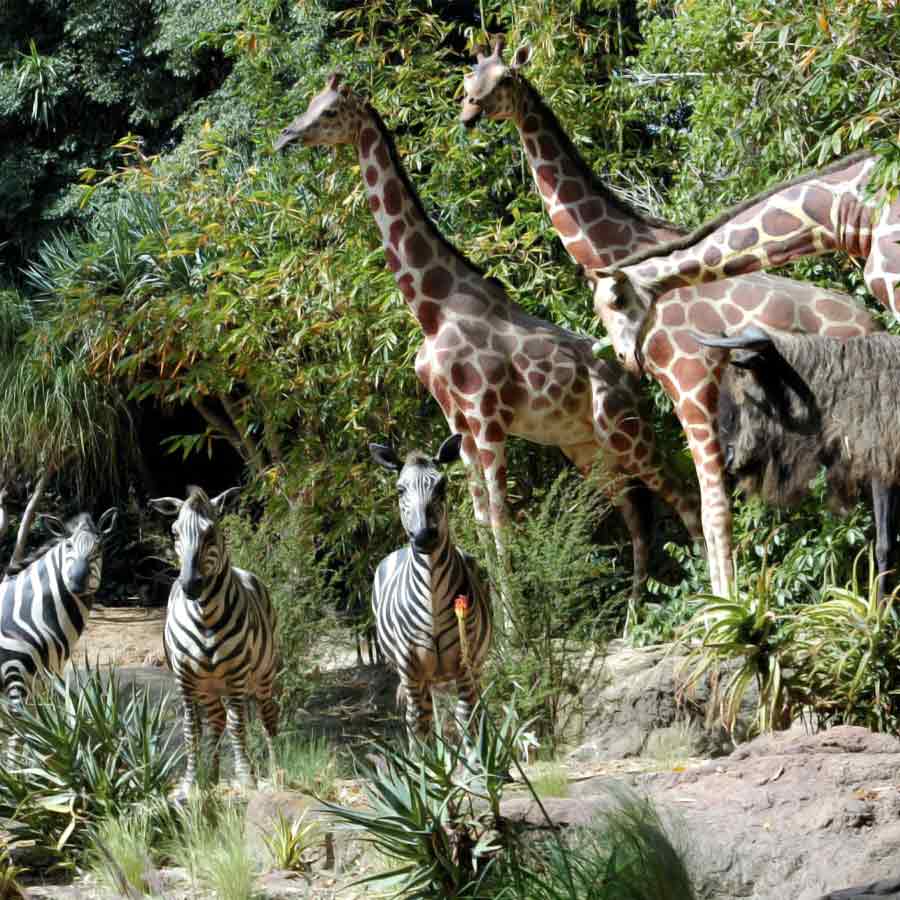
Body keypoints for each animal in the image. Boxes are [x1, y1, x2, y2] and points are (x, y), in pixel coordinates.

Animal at [274, 73, 705, 605]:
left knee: (683, 492)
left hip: (623, 431)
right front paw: (489, 613)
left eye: (330, 111)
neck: (433, 309)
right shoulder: (457, 420)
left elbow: (501, 523)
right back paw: (636, 610)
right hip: (585, 447)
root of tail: (632, 380)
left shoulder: (487, 417)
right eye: (311, 102)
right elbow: (478, 521)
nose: (286, 136)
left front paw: (515, 619)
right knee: (636, 514)